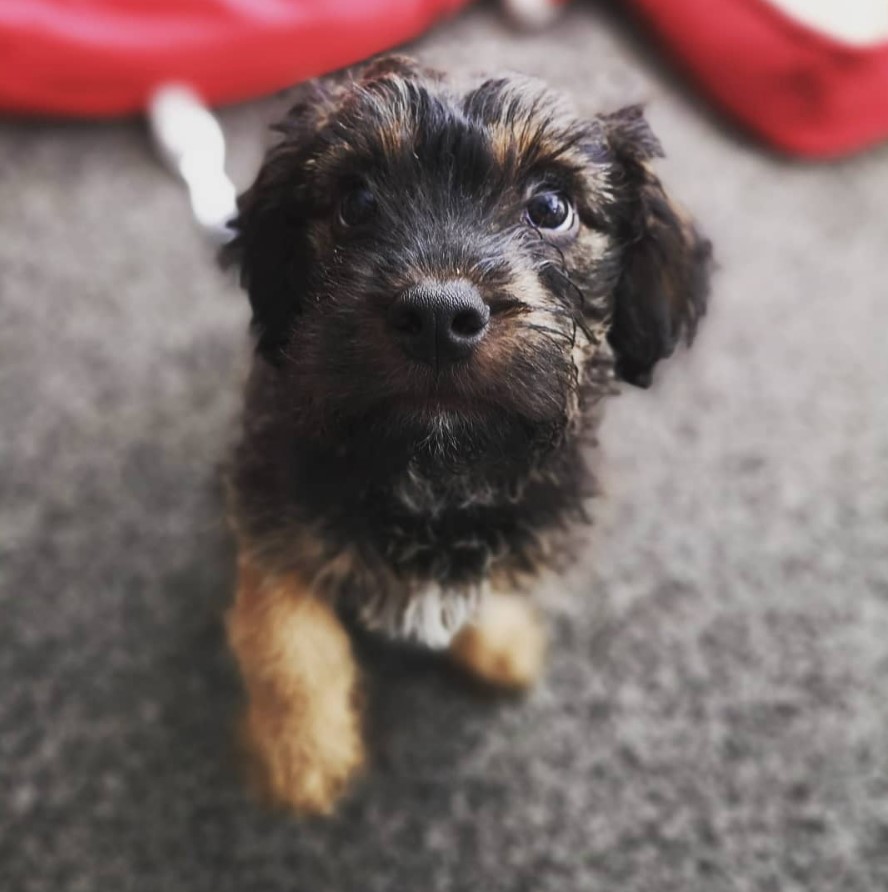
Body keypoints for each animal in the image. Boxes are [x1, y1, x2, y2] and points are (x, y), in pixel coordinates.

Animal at [224, 55, 716, 816]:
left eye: (551, 207)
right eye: (356, 201)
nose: (437, 315)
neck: (437, 473)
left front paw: (502, 639)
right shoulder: (273, 506)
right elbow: (287, 638)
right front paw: (303, 756)